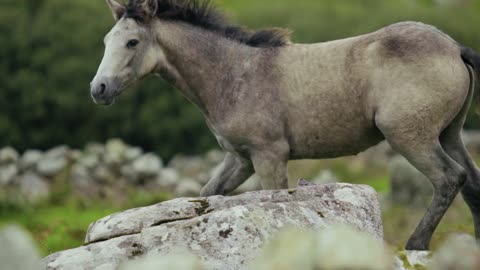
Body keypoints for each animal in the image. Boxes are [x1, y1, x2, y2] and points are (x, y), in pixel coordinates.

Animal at [91, 0, 480, 251]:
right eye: (107, 40)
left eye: (132, 42)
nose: (99, 89)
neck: (233, 74)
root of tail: (454, 47)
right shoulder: (240, 159)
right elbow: (207, 195)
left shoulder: (269, 156)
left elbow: (275, 201)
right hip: (449, 134)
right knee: (472, 182)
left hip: (411, 136)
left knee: (450, 178)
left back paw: (416, 245)